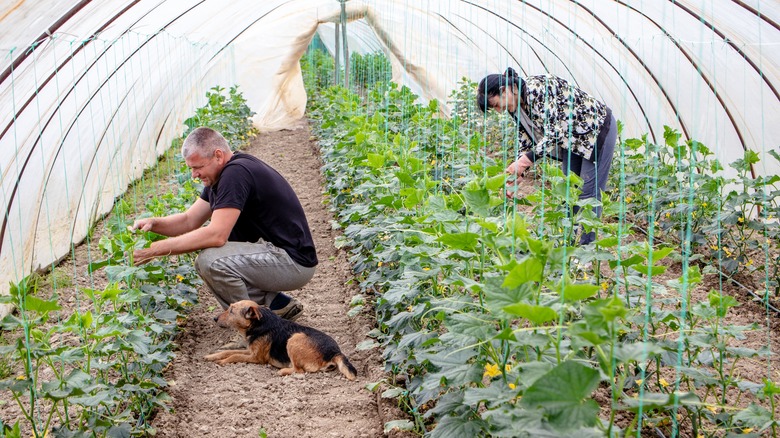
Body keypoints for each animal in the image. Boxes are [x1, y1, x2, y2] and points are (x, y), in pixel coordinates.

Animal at [203, 298, 358, 380]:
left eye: (231, 311)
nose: (215, 318)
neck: (259, 324)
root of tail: (335, 352)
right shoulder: (251, 351)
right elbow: (228, 352)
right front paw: (211, 356)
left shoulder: (256, 358)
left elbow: (234, 355)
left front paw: (222, 362)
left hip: (295, 338)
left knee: (299, 371)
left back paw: (282, 371)